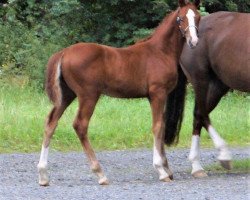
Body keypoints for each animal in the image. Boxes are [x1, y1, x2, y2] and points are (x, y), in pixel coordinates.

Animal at [37, 0, 201, 186]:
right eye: (180, 18)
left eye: (197, 16)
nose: (193, 41)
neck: (160, 51)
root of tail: (63, 52)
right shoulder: (157, 93)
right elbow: (157, 126)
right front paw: (161, 170)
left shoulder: (158, 96)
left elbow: (162, 126)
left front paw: (168, 169)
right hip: (88, 95)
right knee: (80, 125)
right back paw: (100, 174)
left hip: (66, 95)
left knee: (51, 123)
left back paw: (43, 175)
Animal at [178, 11, 250, 177]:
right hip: (200, 80)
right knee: (201, 114)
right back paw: (220, 158)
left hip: (218, 86)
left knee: (198, 116)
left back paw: (197, 166)